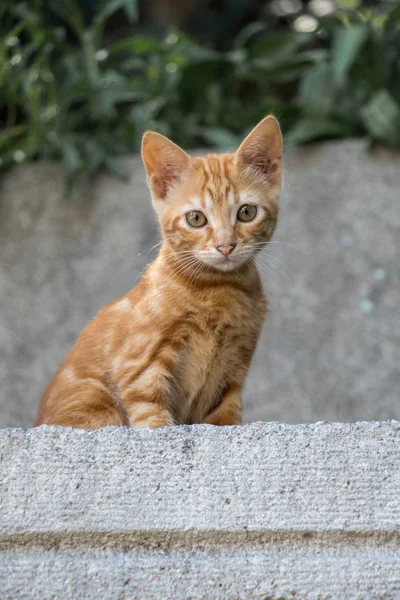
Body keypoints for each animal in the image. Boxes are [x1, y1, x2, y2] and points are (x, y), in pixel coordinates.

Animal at [35, 115, 284, 428]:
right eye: (196, 218)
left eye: (246, 212)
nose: (225, 245)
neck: (219, 288)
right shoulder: (139, 365)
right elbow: (152, 416)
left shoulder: (234, 370)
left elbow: (226, 418)